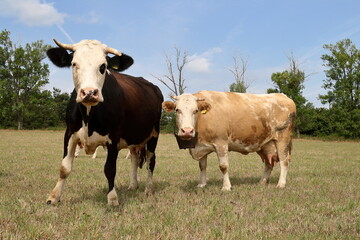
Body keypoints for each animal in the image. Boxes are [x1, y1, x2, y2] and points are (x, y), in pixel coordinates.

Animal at [46, 38, 163, 205]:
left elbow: (110, 169)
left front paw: (112, 198)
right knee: (134, 158)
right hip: (133, 137)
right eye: (74, 64)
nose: (89, 92)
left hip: (154, 134)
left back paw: (148, 189)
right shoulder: (69, 133)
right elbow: (64, 168)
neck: (89, 115)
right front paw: (54, 197)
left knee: (151, 162)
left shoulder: (113, 137)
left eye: (103, 66)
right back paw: (133, 185)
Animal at [163, 91, 296, 190]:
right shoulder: (201, 146)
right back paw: (262, 182)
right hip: (266, 144)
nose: (187, 131)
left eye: (195, 110)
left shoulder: (221, 143)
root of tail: (283, 96)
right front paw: (202, 184)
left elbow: (223, 166)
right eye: (177, 110)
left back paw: (281, 184)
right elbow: (202, 166)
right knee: (269, 164)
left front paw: (226, 187)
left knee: (284, 161)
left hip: (283, 139)